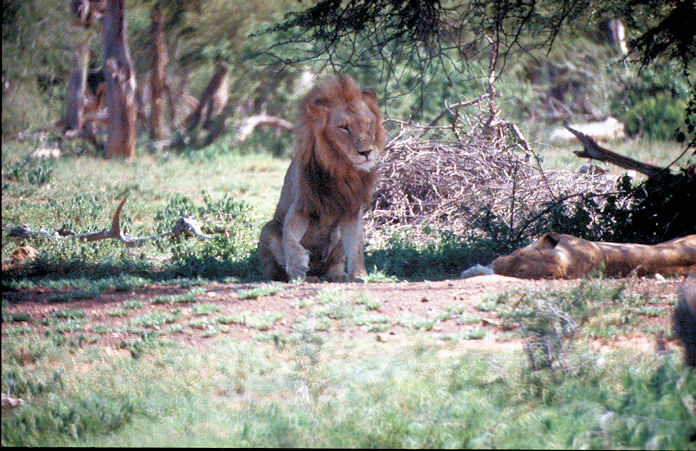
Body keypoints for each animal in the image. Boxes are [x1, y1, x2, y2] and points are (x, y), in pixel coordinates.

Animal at [258, 76, 386, 284]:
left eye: (368, 123)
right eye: (344, 127)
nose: (366, 152)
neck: (340, 168)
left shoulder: (351, 210)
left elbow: (357, 247)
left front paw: (361, 275)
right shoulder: (302, 206)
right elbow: (289, 236)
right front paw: (297, 264)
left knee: (334, 267)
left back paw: (339, 276)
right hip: (268, 229)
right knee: (279, 269)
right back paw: (306, 277)